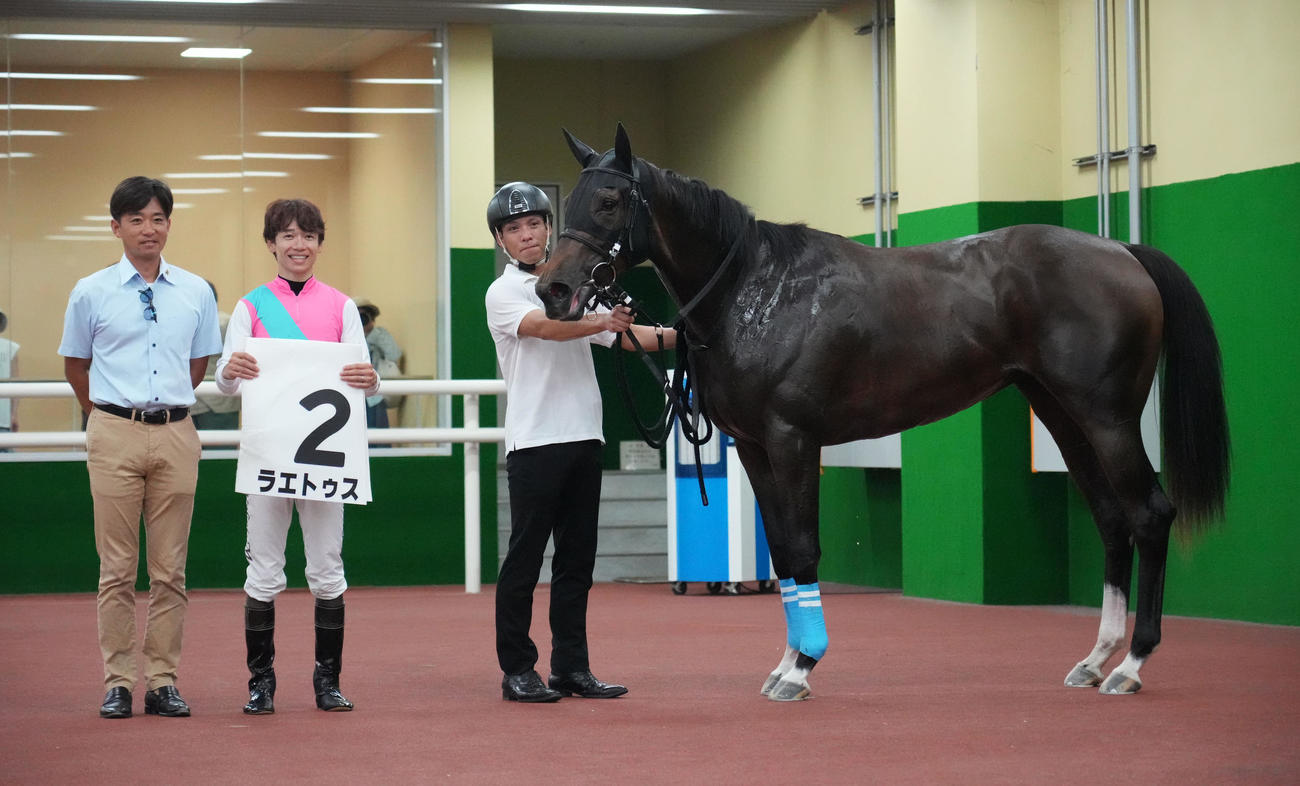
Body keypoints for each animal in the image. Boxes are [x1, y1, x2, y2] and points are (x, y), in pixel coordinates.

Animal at [536, 124, 1229, 702]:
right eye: (572, 200)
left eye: (608, 202)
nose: (554, 289)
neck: (756, 290)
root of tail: (1124, 253)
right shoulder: (756, 449)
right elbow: (783, 553)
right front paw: (785, 663)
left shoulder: (793, 440)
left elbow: (805, 549)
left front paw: (802, 668)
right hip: (1061, 416)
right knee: (1112, 520)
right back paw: (1094, 659)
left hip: (1107, 418)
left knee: (1149, 515)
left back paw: (1131, 665)